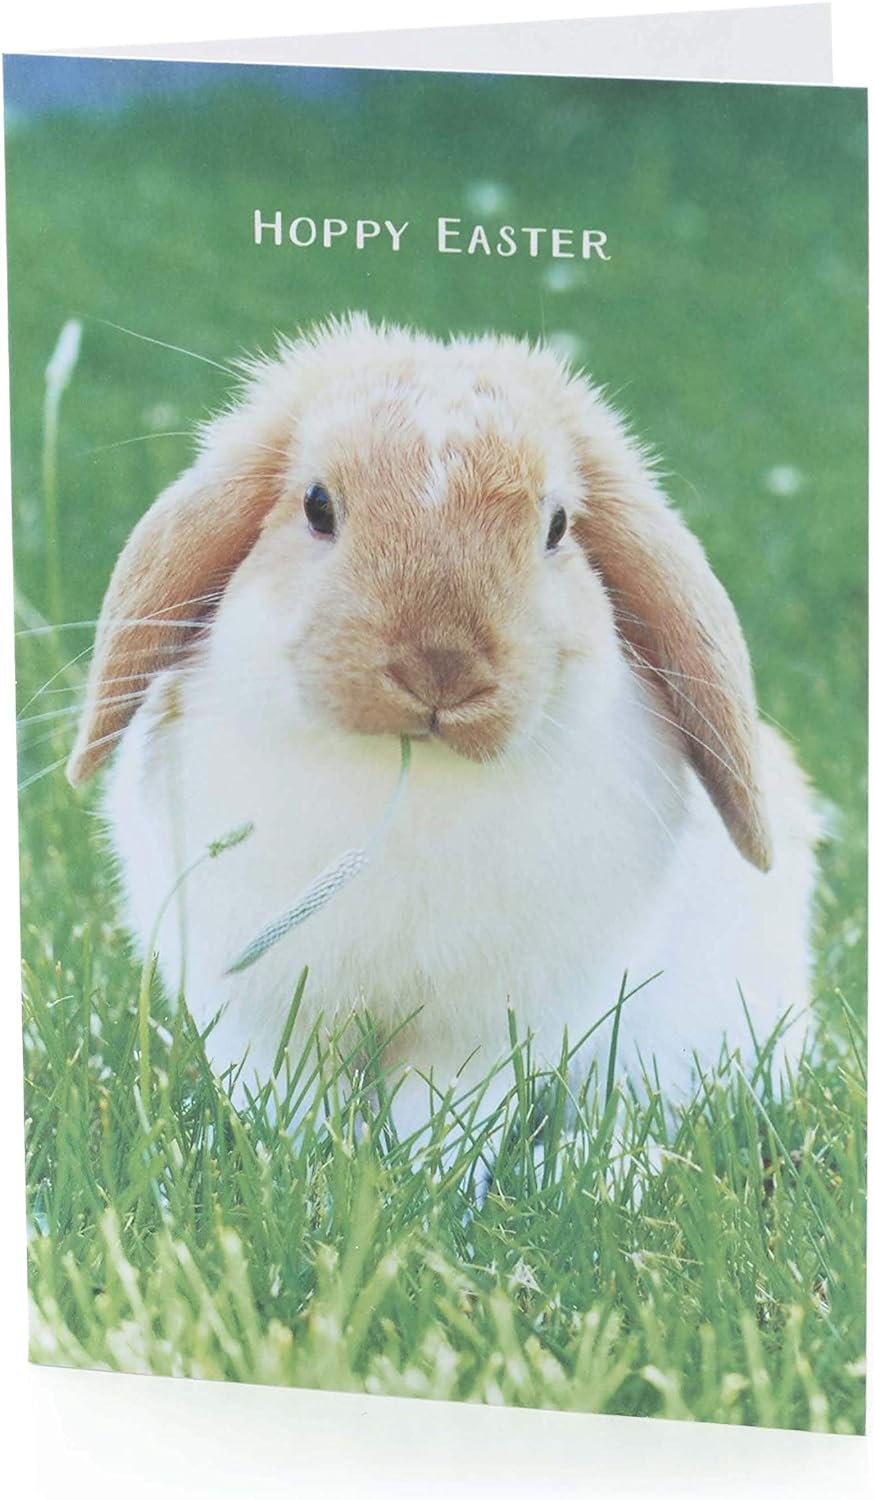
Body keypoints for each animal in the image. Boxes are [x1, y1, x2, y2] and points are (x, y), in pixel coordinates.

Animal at [68, 314, 818, 1139]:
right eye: (318, 505)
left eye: (557, 527)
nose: (441, 667)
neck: (408, 776)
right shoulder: (258, 1012)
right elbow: (290, 1094)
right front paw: (303, 1150)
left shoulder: (482, 1033)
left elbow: (443, 1109)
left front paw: (419, 1164)